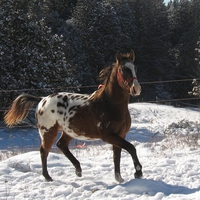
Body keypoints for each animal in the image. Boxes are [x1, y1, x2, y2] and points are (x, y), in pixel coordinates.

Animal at [4, 50, 142, 183]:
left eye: (135, 68)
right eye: (123, 69)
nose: (136, 89)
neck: (109, 104)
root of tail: (42, 99)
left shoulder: (120, 135)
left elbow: (117, 157)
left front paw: (119, 178)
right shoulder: (108, 136)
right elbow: (131, 148)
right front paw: (138, 172)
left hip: (68, 131)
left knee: (61, 145)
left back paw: (78, 169)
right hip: (48, 131)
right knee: (44, 151)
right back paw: (48, 177)